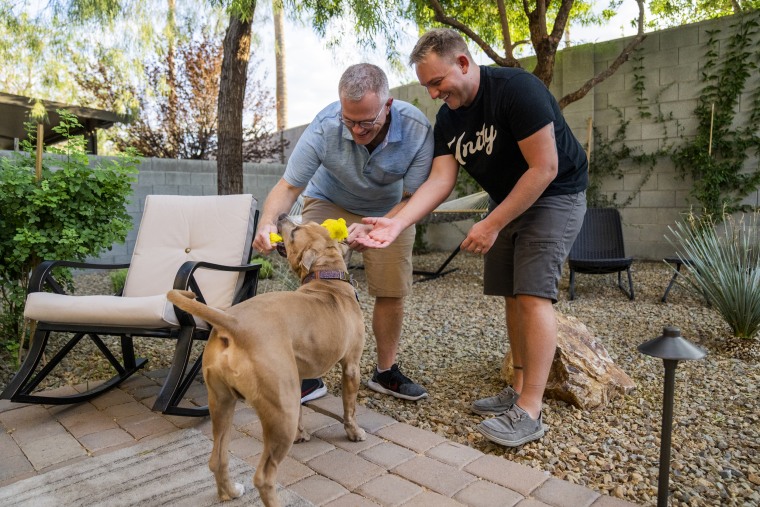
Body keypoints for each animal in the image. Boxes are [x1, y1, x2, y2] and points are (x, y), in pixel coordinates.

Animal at [167, 215, 368, 507]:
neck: (328, 280)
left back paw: (229, 493)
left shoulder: (298, 376)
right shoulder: (351, 367)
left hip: (222, 402)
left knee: (217, 459)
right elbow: (349, 409)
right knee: (263, 477)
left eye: (297, 230)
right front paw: (354, 432)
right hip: (280, 412)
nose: (282, 216)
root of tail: (234, 322)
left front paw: (302, 434)